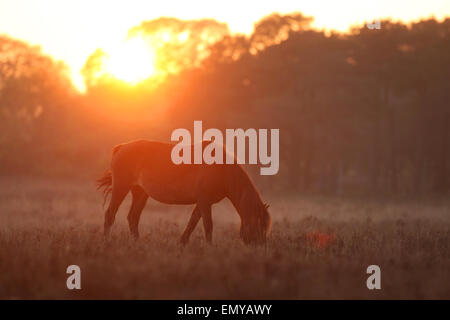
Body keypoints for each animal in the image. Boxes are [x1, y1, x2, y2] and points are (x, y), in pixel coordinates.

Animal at [96, 139, 270, 245]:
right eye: (260, 226)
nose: (261, 247)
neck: (222, 169)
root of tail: (121, 147)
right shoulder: (204, 202)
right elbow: (208, 225)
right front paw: (210, 247)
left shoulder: (202, 202)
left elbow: (192, 223)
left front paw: (182, 243)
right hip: (121, 188)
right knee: (110, 215)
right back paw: (106, 241)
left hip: (140, 193)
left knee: (133, 218)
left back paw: (137, 243)